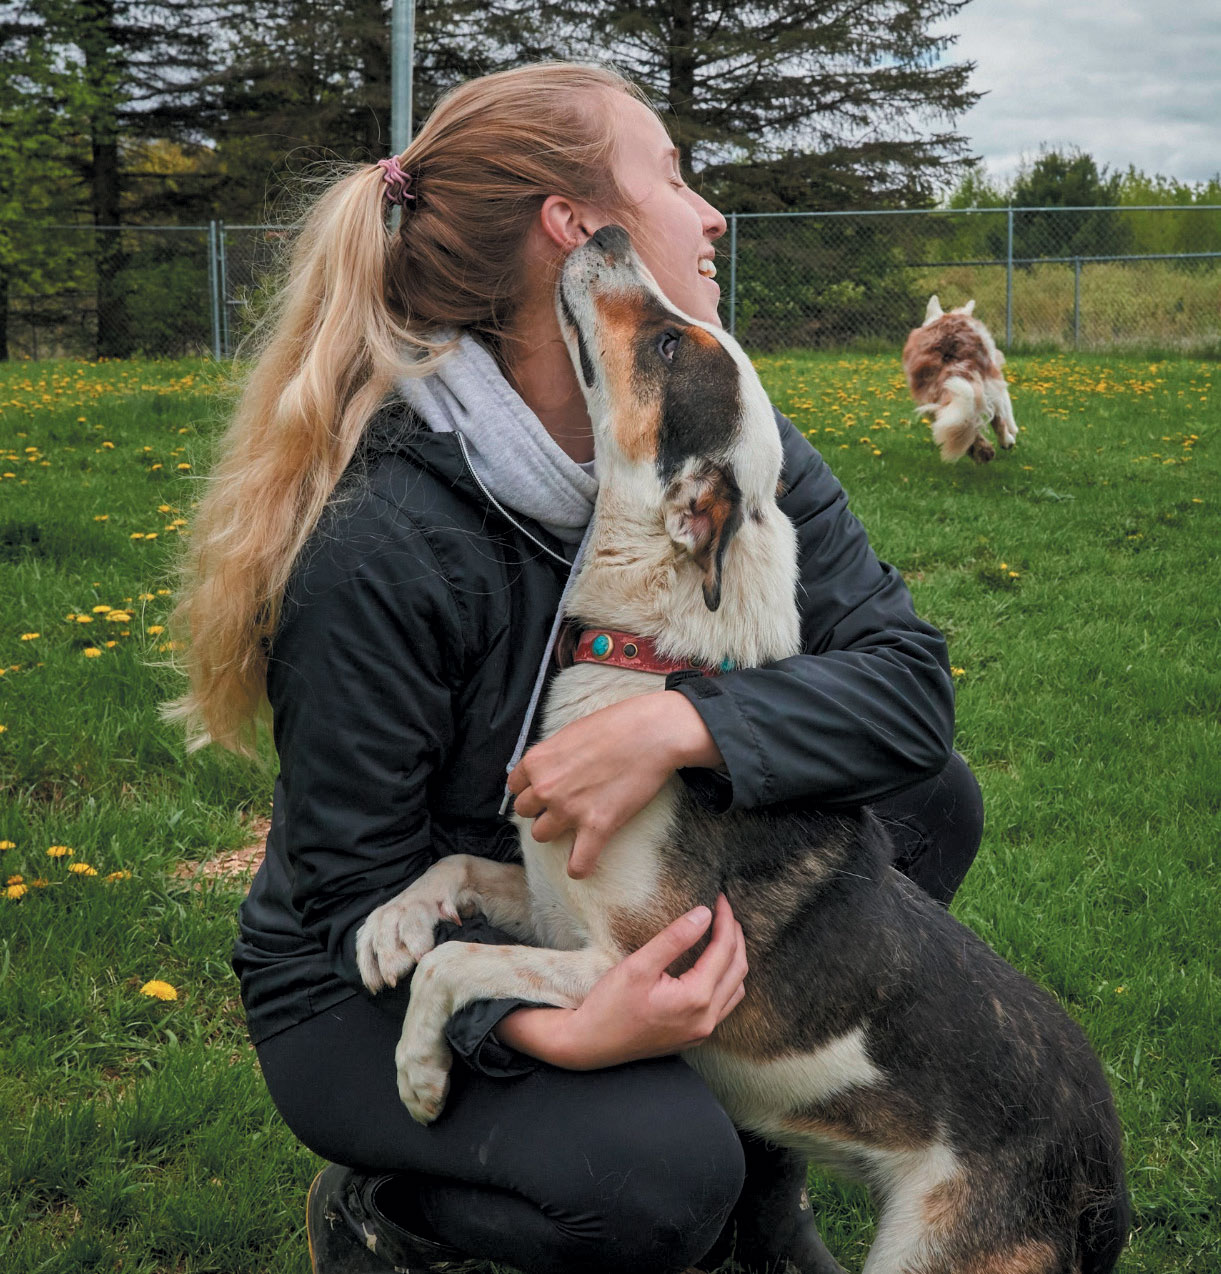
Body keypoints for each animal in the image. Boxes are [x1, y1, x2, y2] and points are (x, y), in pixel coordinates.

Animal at [897, 295, 1024, 466]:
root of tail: (949, 351)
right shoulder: (998, 379)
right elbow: (1006, 411)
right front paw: (1012, 433)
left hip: (932, 395)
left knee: (957, 420)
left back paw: (982, 451)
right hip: (989, 381)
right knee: (996, 415)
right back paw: (1004, 442)